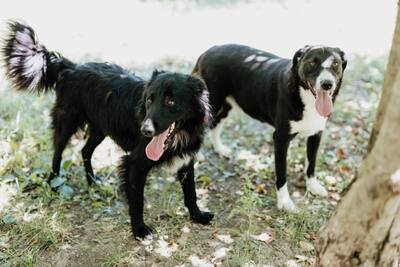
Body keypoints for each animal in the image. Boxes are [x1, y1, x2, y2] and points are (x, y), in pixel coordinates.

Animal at [3, 21, 214, 239]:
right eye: (149, 99)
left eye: (170, 101)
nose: (145, 130)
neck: (180, 135)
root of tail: (73, 67)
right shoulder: (134, 164)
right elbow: (137, 200)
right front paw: (139, 229)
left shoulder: (186, 160)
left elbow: (191, 192)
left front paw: (197, 215)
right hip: (67, 122)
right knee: (57, 153)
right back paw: (53, 182)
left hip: (100, 128)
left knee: (84, 151)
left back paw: (93, 182)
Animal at [192, 44, 346, 213]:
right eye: (312, 63)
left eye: (335, 64)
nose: (327, 84)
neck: (306, 98)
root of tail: (208, 51)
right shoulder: (280, 139)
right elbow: (282, 174)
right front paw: (285, 202)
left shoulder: (316, 134)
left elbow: (311, 164)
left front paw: (313, 186)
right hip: (212, 102)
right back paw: (196, 155)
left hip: (226, 104)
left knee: (216, 124)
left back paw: (220, 149)